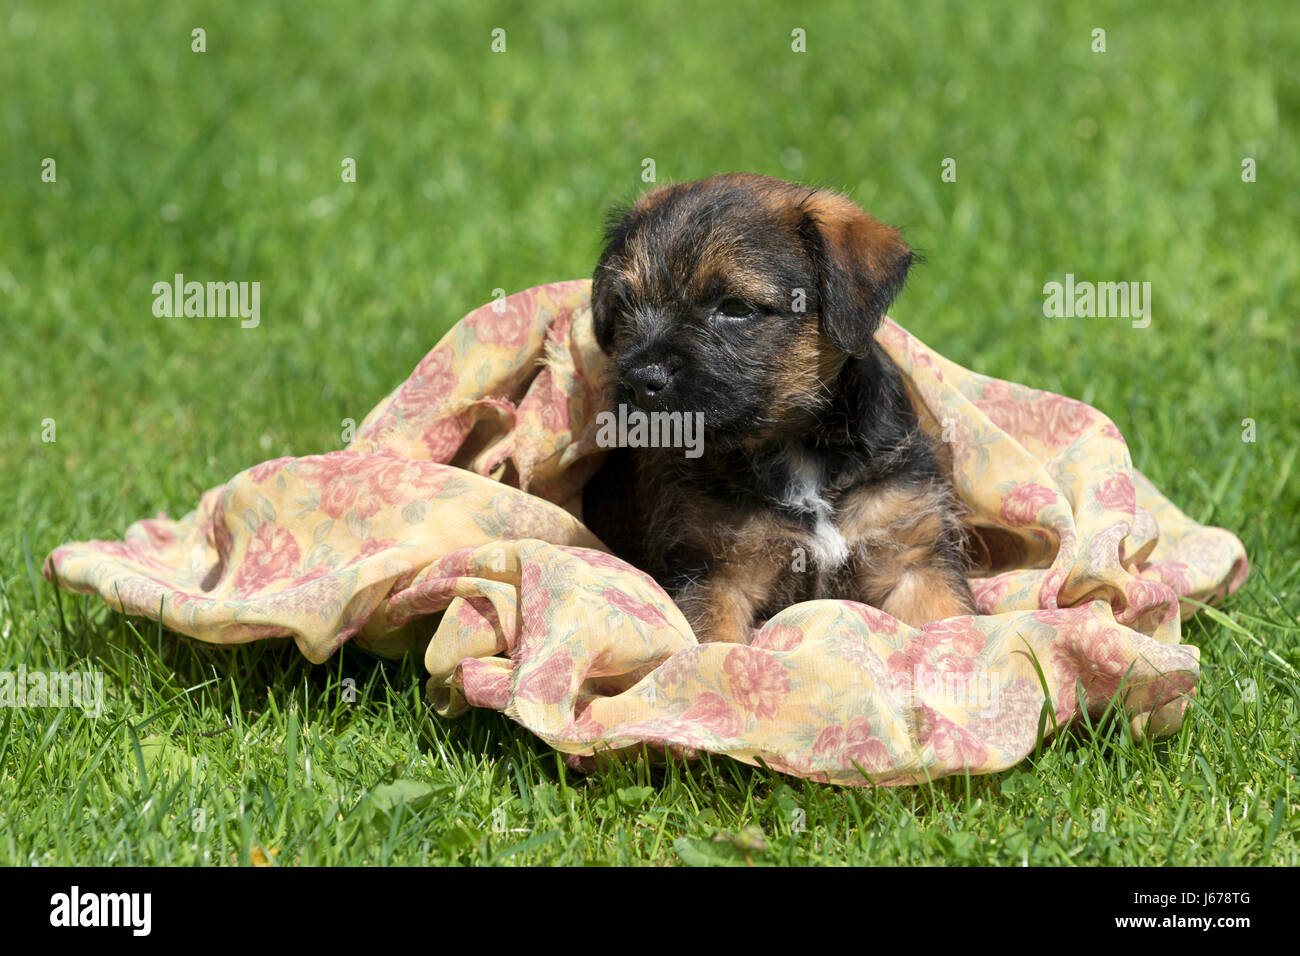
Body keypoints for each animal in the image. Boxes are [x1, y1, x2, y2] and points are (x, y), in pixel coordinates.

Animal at [582, 175, 977, 647]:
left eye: (736, 308)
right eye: (624, 305)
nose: (641, 378)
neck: (794, 444)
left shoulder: (914, 563)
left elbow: (952, 621)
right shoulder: (714, 575)